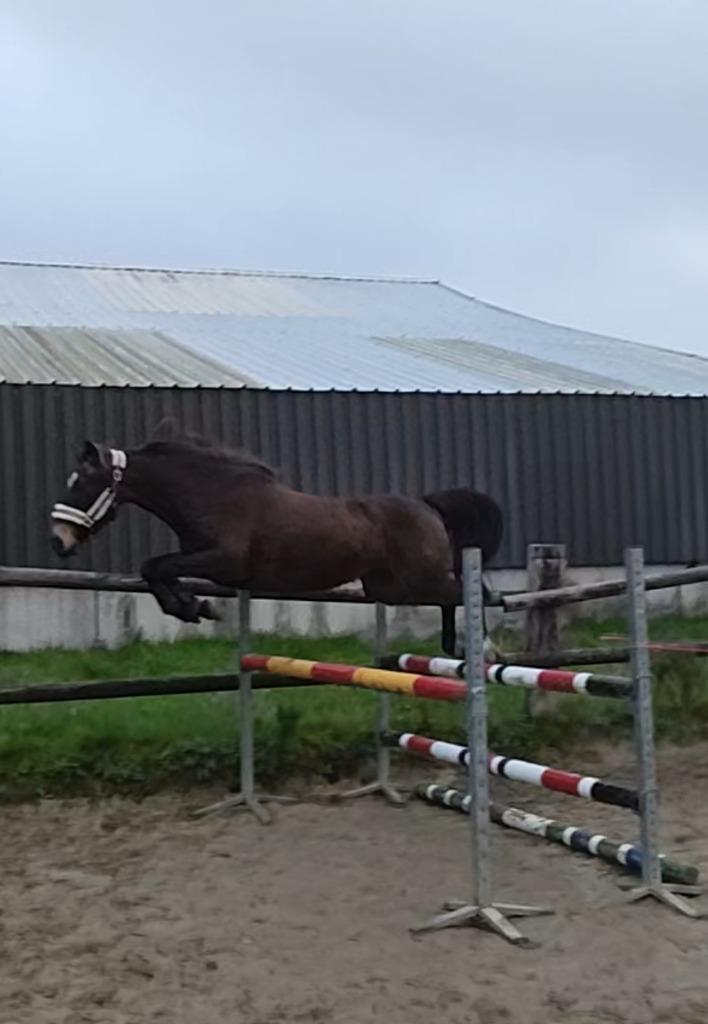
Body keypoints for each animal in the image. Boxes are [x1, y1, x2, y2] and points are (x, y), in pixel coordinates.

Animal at [49, 418, 503, 655]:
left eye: (82, 485)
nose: (58, 540)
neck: (210, 492)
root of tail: (427, 506)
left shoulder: (223, 560)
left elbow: (156, 566)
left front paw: (194, 607)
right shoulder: (206, 561)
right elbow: (156, 570)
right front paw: (193, 607)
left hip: (420, 579)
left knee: (467, 592)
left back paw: (482, 647)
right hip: (391, 588)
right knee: (455, 596)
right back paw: (456, 647)